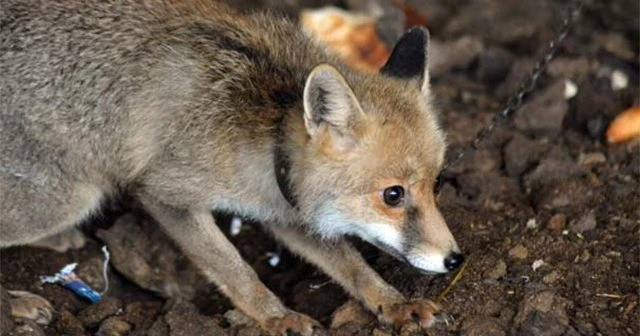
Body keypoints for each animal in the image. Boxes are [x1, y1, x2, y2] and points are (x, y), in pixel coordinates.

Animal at [1, 0, 464, 334]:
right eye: (393, 195)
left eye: (436, 183)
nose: (455, 260)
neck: (268, 127)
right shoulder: (167, 195)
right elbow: (235, 269)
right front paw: (274, 316)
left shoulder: (285, 211)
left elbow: (351, 265)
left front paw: (395, 303)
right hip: (69, 198)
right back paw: (16, 303)